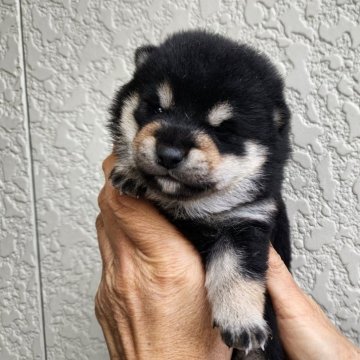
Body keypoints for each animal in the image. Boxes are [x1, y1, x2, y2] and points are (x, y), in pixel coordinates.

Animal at [108, 31, 292, 360]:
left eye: (223, 130)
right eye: (157, 108)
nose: (169, 154)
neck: (187, 204)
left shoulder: (245, 222)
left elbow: (237, 270)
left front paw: (242, 321)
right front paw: (131, 171)